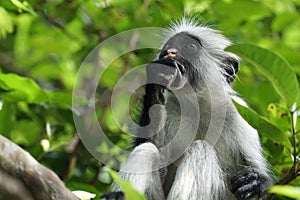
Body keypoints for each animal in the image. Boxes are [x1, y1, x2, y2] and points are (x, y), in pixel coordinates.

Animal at [101, 18, 272, 199]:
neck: (198, 106)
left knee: (200, 148)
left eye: (190, 46)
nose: (170, 52)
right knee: (146, 149)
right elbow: (153, 149)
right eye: (167, 49)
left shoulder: (238, 115)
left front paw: (256, 182)